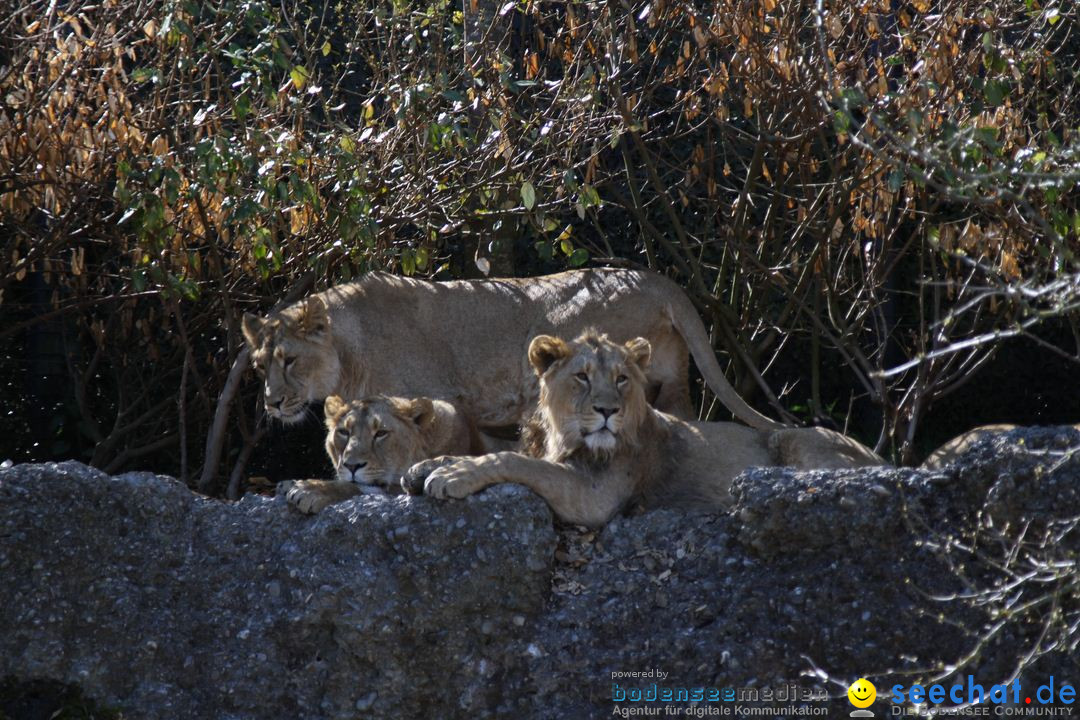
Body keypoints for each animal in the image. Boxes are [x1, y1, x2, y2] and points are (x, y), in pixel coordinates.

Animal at [240, 267, 786, 431]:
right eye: (261, 366)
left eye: (291, 360)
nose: (271, 403)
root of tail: (659, 280)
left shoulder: (436, 400)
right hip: (671, 382)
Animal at [282, 390, 481, 515]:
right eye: (344, 432)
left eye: (381, 433)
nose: (352, 466)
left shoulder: (401, 487)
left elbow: (358, 487)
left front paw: (310, 489)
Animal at [401, 330, 881, 526]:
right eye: (582, 377)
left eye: (621, 379)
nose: (607, 410)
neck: (565, 437)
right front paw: (426, 465)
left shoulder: (594, 496)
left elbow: (514, 459)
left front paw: (453, 475)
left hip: (792, 437)